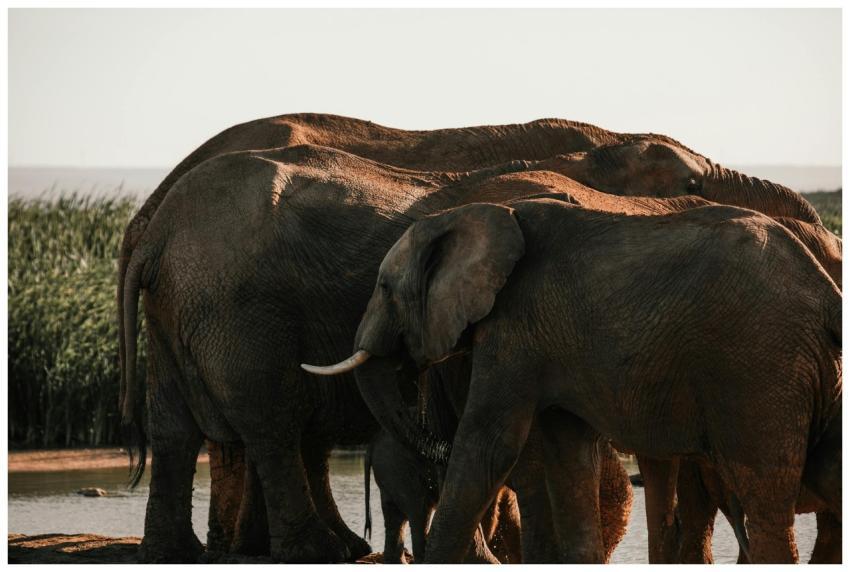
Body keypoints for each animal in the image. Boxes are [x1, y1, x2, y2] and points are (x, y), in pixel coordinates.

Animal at [303, 199, 842, 563]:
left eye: (383, 288)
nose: (429, 437)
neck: (479, 216)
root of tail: (826, 290)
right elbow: (568, 456)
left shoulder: (514, 329)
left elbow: (487, 446)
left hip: (760, 367)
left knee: (764, 497)